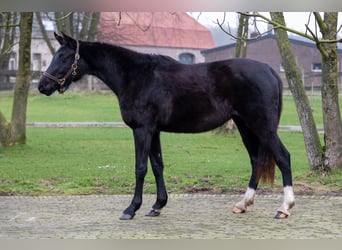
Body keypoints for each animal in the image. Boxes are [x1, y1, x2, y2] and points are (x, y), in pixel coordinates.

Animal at [37, 32, 294, 219]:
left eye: (64, 57)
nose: (42, 86)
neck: (135, 75)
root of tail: (270, 70)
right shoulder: (154, 131)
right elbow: (157, 166)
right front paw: (157, 206)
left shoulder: (141, 130)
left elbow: (140, 168)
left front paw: (131, 209)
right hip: (245, 125)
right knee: (256, 160)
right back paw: (243, 204)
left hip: (262, 126)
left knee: (283, 157)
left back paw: (284, 208)